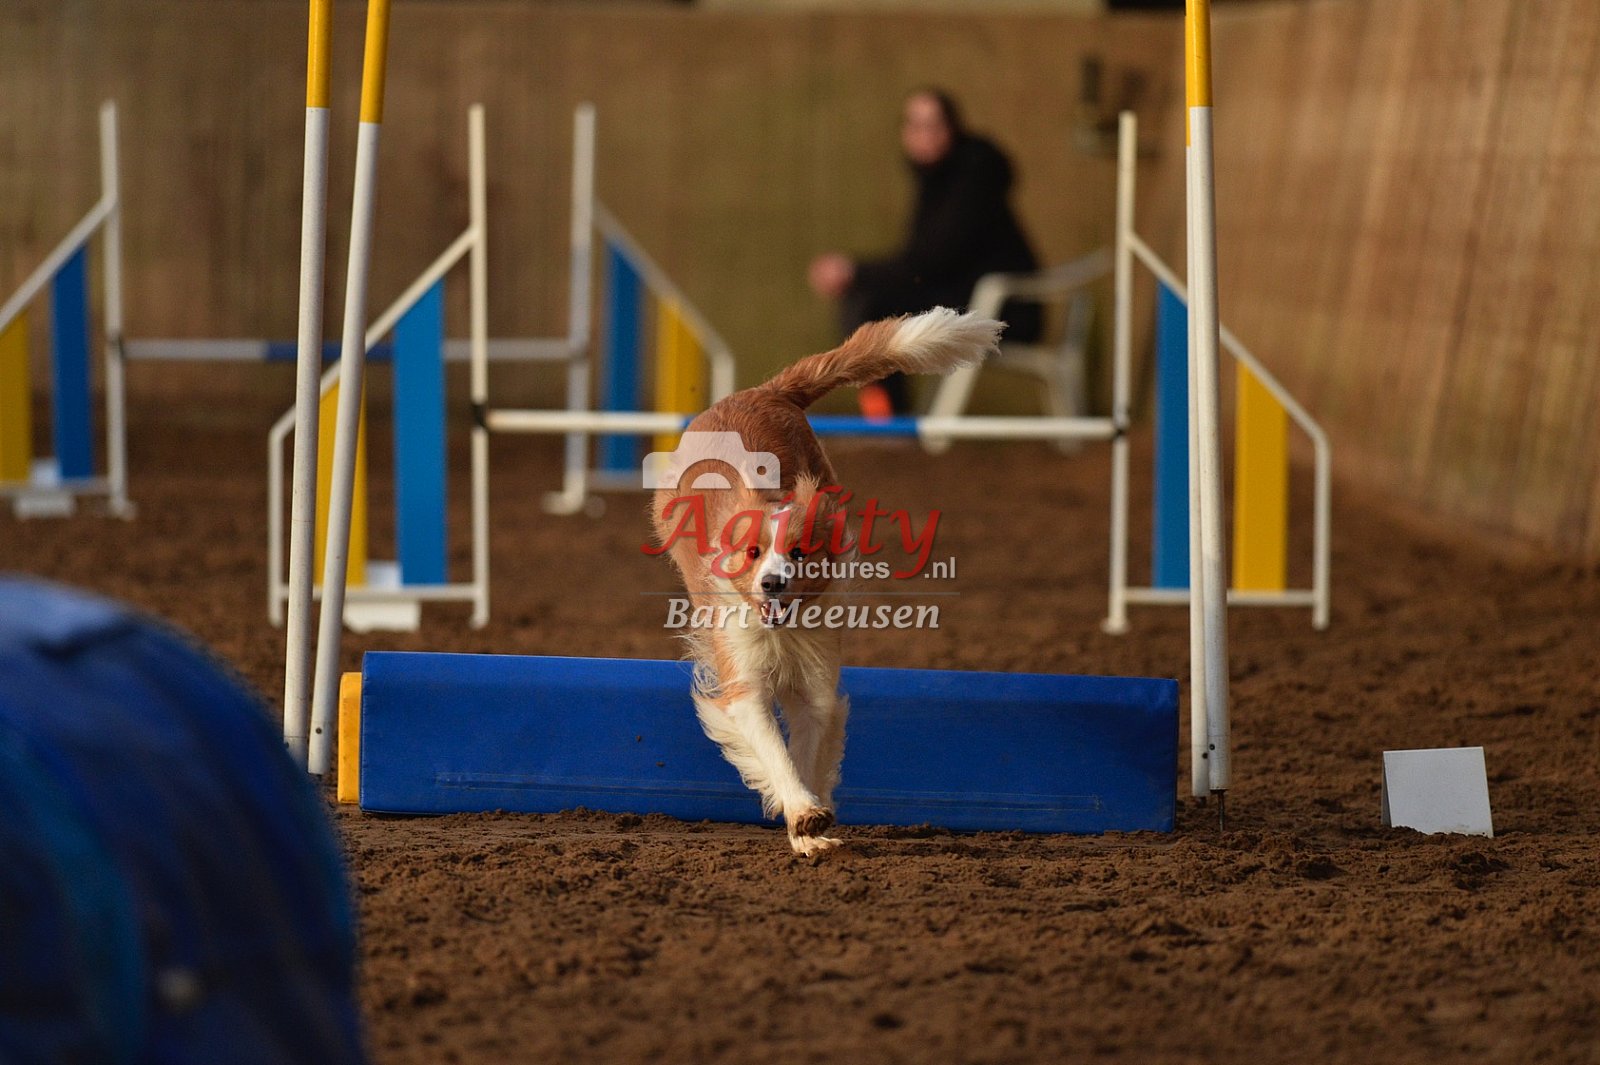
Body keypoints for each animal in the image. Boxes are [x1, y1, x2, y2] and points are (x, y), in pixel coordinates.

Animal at [650, 307, 1003, 855]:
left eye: (798, 553)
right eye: (752, 553)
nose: (773, 584)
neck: (780, 630)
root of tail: (760, 391)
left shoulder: (815, 681)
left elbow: (806, 750)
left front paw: (809, 829)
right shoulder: (743, 681)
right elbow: (774, 752)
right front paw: (802, 814)